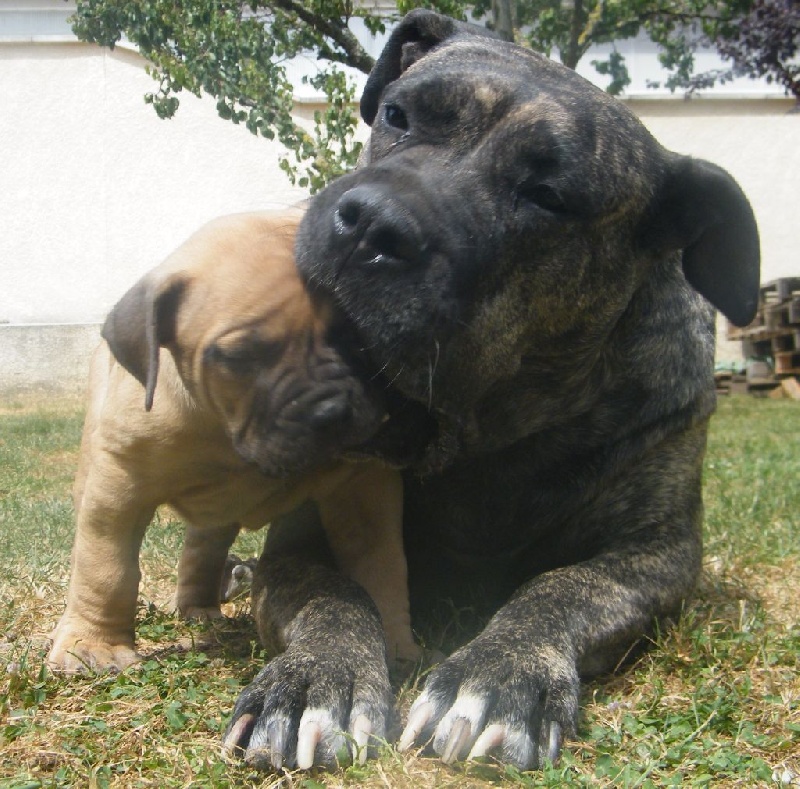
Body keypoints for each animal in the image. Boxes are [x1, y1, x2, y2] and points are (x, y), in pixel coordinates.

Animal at [45, 209, 418, 672]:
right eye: (241, 357)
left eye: (355, 336)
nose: (331, 412)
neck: (227, 435)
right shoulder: (119, 484)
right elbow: (105, 567)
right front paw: (94, 645)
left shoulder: (363, 487)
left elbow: (382, 565)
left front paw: (396, 643)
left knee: (203, 547)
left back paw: (200, 608)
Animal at [223, 9, 756, 772]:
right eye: (397, 115)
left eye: (547, 197)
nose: (372, 222)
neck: (485, 436)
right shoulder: (302, 539)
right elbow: (333, 593)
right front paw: (316, 677)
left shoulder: (656, 551)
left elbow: (559, 588)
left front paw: (499, 674)